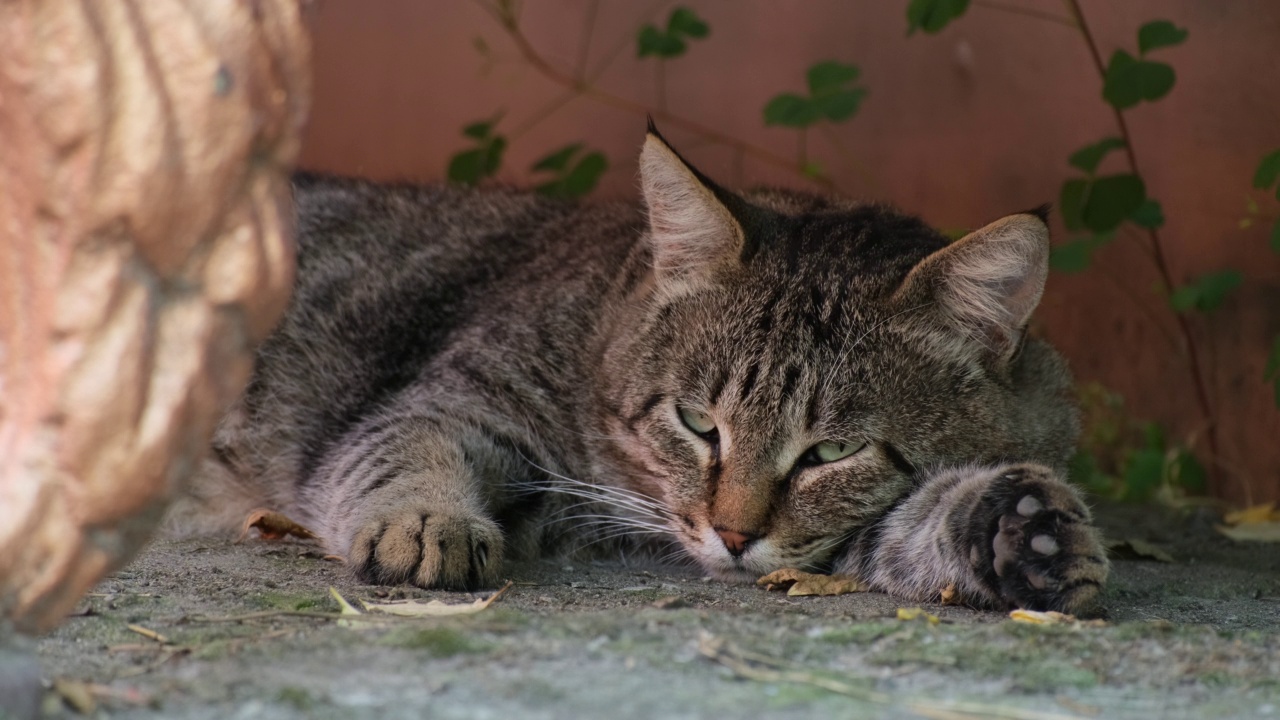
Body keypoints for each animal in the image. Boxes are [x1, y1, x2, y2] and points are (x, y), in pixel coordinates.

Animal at [175, 122, 1105, 609]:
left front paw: (1014, 525)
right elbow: (396, 452)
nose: (732, 534)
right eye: (697, 423)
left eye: (834, 452)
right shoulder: (449, 400)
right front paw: (424, 522)